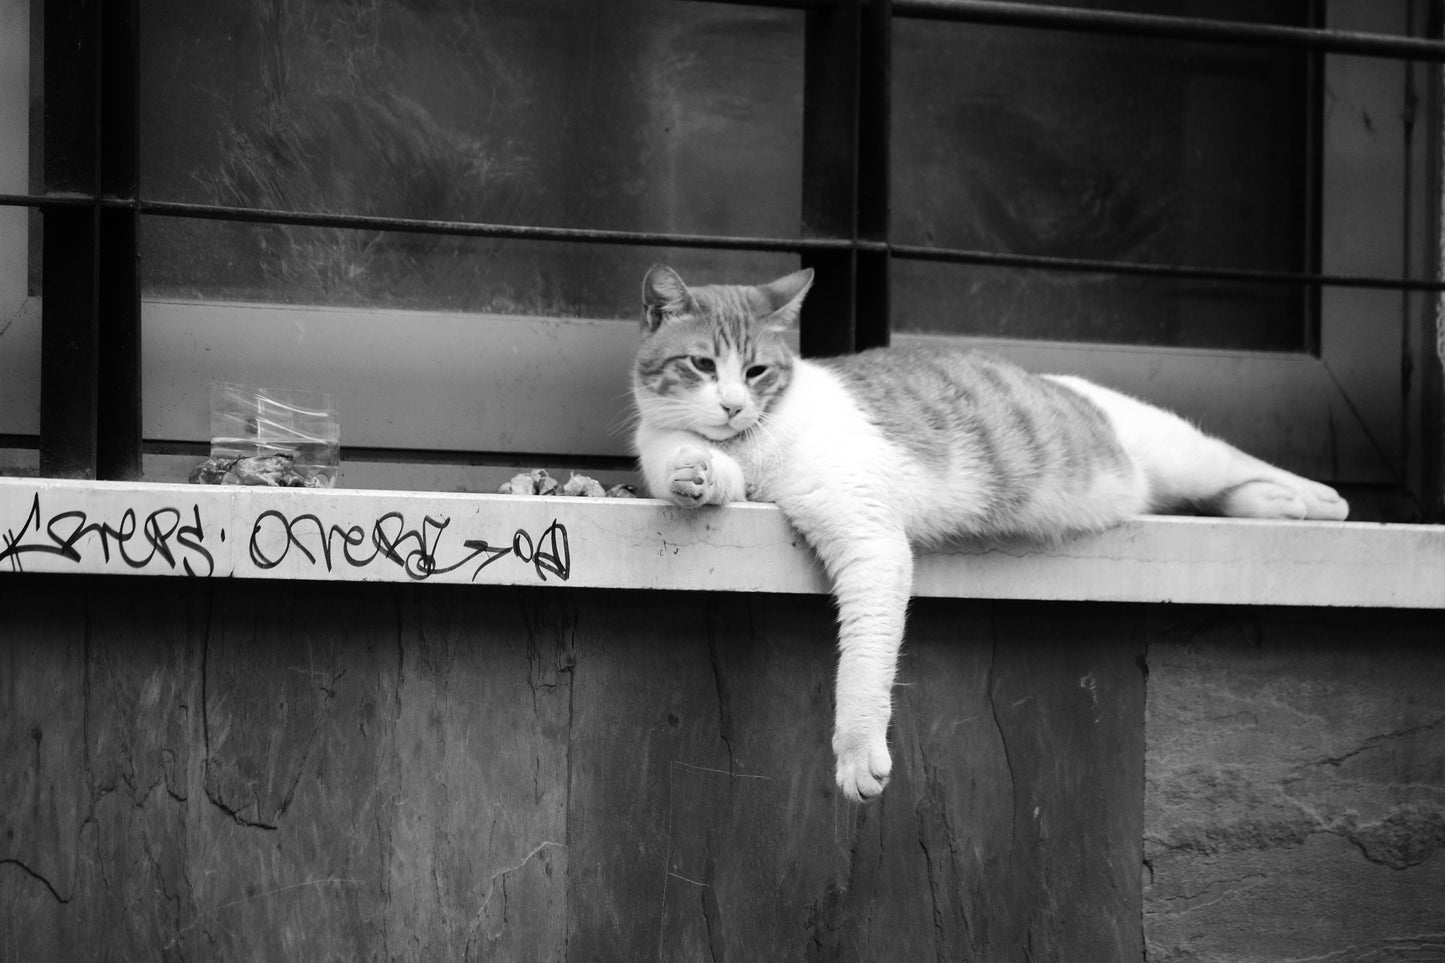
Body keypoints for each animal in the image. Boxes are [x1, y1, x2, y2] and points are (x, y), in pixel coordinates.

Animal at [627, 260, 1346, 792]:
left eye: (756, 371)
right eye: (701, 365)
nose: (731, 405)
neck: (753, 445)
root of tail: (1048, 376)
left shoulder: (870, 539)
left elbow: (863, 656)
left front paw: (857, 749)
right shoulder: (674, 449)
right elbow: (685, 467)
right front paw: (697, 473)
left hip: (1171, 447)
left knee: (1235, 461)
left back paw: (1313, 499)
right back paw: (1274, 504)